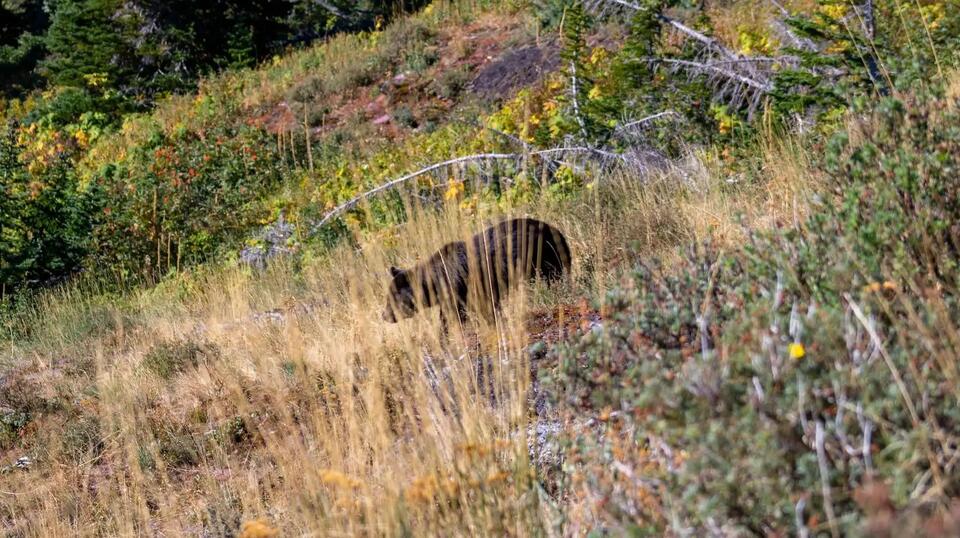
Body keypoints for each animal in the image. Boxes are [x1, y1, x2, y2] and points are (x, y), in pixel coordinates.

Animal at [381, 217, 572, 334]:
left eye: (391, 299)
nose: (384, 316)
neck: (436, 281)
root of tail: (554, 229)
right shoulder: (453, 295)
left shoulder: (462, 287)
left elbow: (470, 312)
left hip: (543, 255)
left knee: (553, 276)